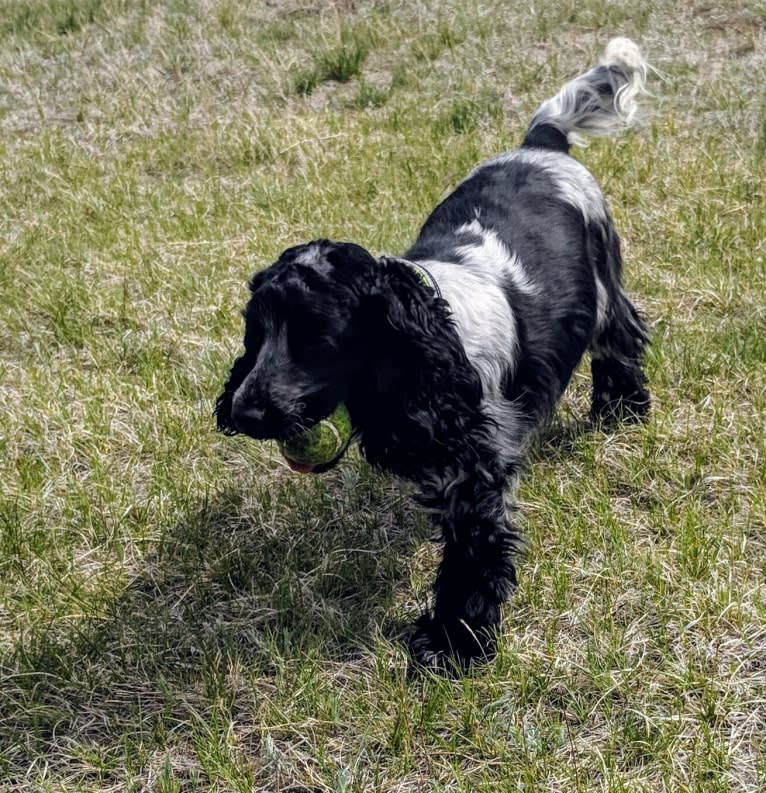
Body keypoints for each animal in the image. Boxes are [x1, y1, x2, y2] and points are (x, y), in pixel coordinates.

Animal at [216, 37, 656, 668]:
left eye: (316, 336)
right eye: (254, 333)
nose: (244, 411)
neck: (433, 339)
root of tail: (540, 143)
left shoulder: (478, 471)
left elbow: (472, 558)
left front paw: (454, 642)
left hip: (602, 286)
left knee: (621, 340)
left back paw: (622, 411)